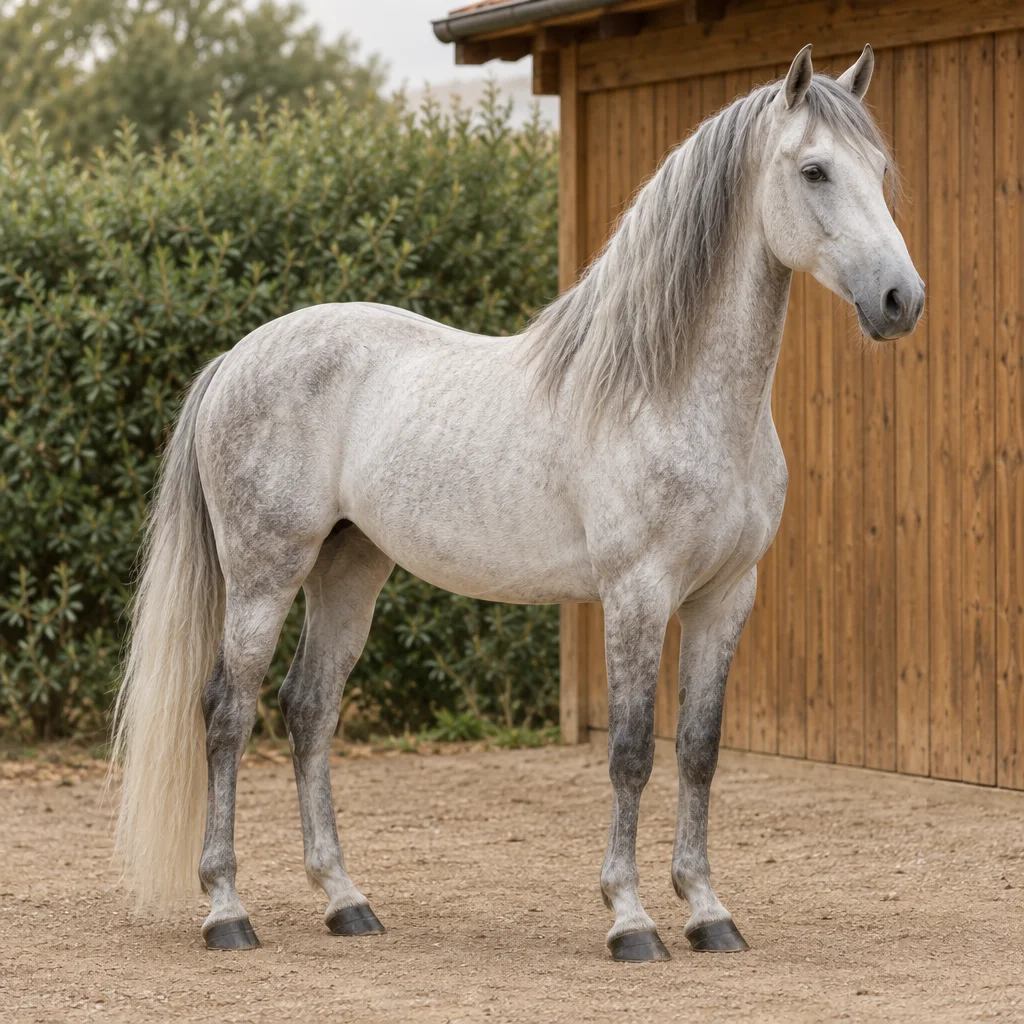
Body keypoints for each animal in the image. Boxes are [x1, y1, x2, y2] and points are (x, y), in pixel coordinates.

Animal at [112, 43, 924, 961]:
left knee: (308, 708)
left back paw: (346, 901)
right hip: (263, 572)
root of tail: (237, 357)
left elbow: (700, 750)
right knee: (227, 711)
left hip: (349, 569)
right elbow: (633, 751)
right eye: (814, 170)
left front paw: (709, 912)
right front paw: (631, 919)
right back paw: (226, 910)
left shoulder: (725, 597)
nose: (901, 301)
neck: (669, 391)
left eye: (879, 171)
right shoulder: (637, 594)